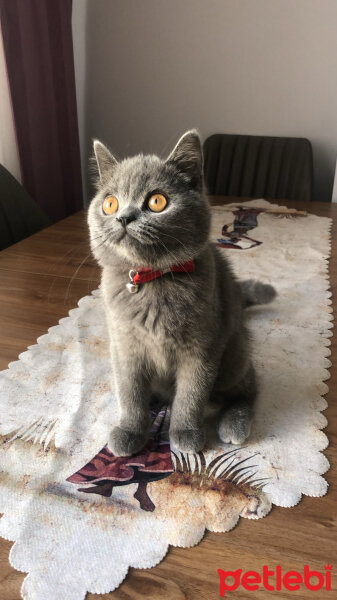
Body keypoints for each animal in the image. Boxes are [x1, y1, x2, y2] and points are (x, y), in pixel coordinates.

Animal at [88, 127, 274, 454]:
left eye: (156, 202)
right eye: (109, 204)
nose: (124, 217)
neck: (153, 280)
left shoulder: (202, 348)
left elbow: (192, 393)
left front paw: (185, 433)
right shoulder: (124, 345)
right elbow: (129, 391)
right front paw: (130, 430)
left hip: (234, 350)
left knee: (249, 385)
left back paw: (234, 422)